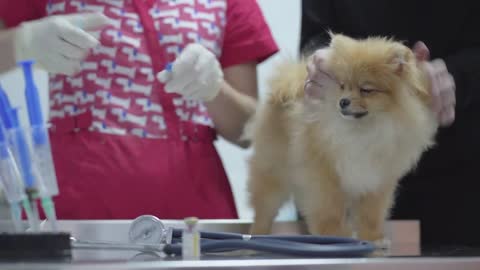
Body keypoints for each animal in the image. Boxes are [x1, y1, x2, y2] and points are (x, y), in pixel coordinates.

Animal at [248, 34, 438, 245]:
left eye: (366, 89)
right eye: (343, 86)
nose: (343, 101)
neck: (362, 131)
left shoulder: (377, 179)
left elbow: (371, 214)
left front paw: (373, 238)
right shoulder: (324, 175)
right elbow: (330, 211)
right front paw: (334, 236)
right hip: (274, 170)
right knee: (264, 208)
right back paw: (257, 234)